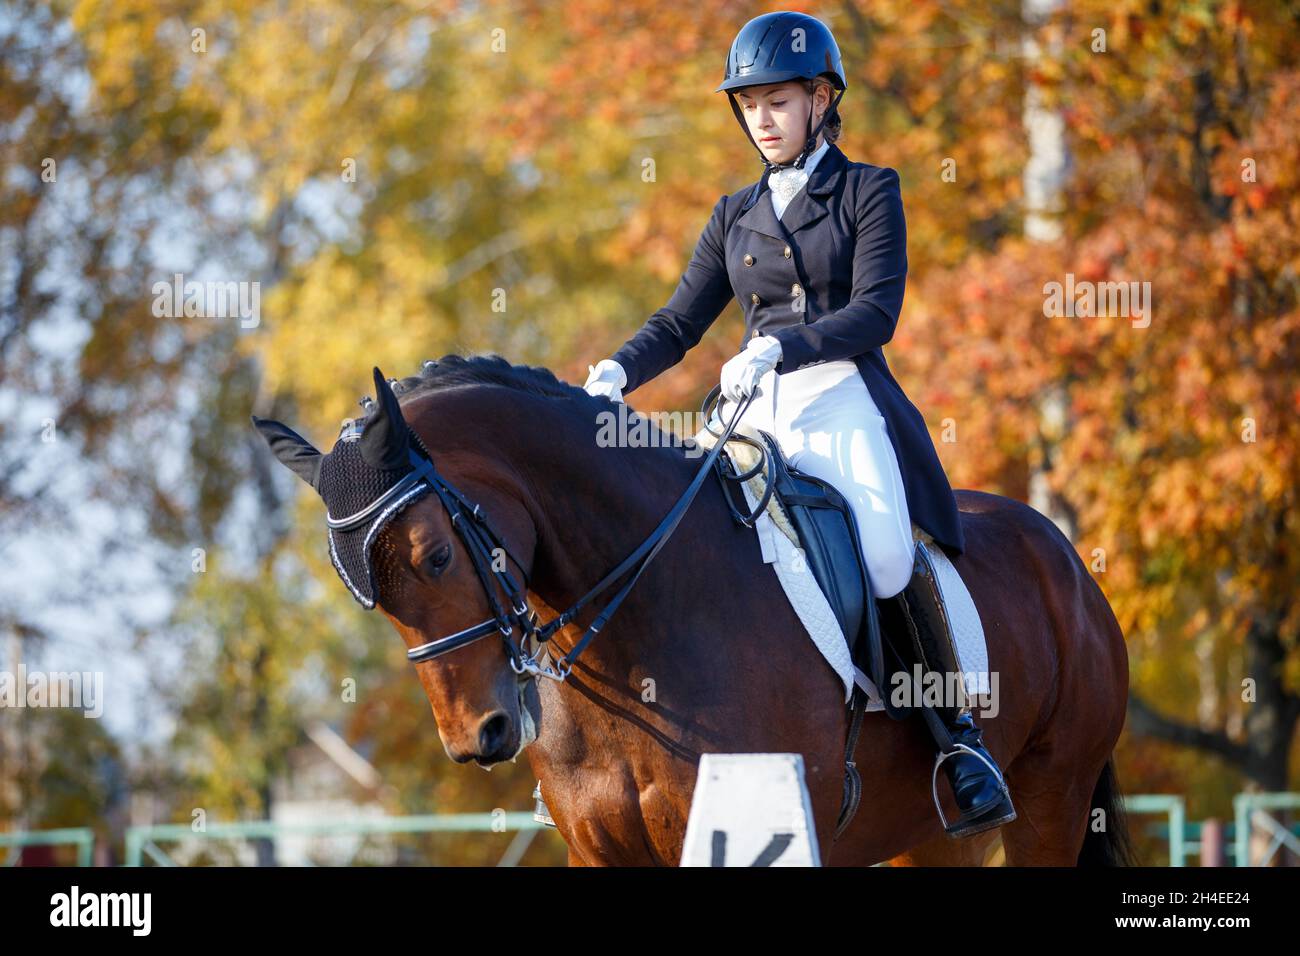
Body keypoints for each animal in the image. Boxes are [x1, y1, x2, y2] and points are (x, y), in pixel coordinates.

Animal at [258, 356, 1133, 868]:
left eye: (436, 557)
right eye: (363, 594)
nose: (481, 737)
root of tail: (1064, 559)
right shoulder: (602, 856)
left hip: (1050, 800)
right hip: (926, 836)